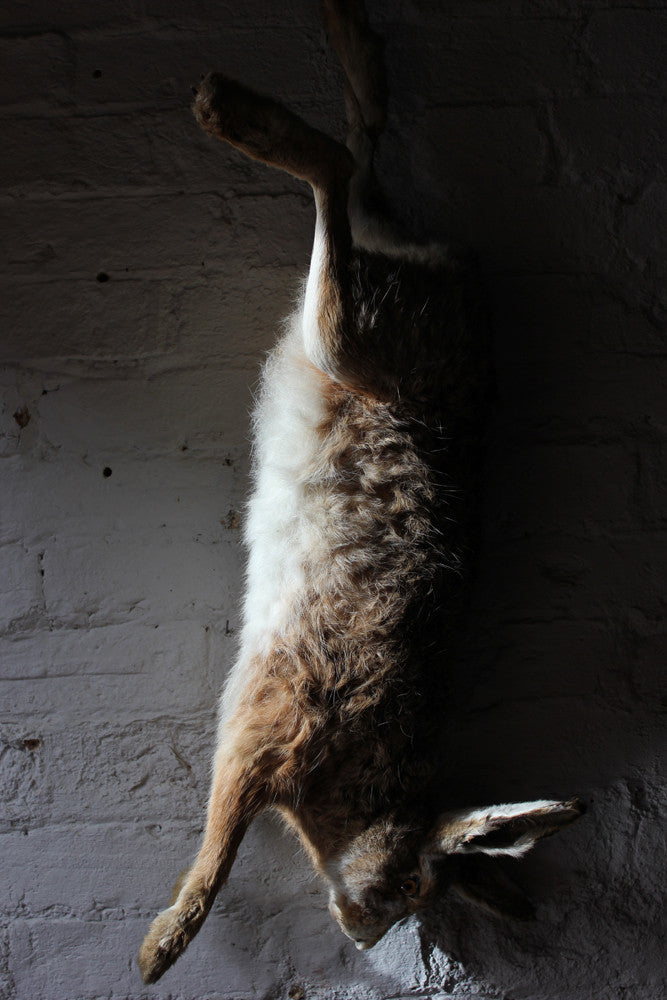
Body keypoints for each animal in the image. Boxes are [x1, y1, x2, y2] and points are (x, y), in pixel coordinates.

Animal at [138, 0, 583, 984]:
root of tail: (460, 284)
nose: (365, 935)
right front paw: (163, 948)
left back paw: (340, 50)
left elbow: (224, 837)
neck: (372, 785)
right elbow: (220, 848)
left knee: (360, 170)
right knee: (341, 178)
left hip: (348, 329)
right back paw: (238, 111)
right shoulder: (266, 728)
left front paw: (159, 944)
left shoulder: (262, 730)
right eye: (413, 881)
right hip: (351, 341)